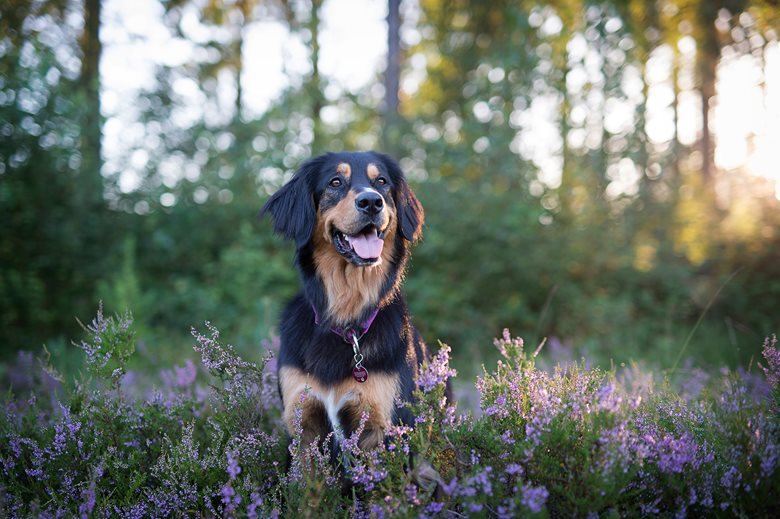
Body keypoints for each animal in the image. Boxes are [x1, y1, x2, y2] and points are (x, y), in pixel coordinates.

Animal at [264, 151, 432, 456]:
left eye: (381, 181)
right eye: (335, 182)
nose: (371, 202)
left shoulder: (385, 427)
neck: (346, 318)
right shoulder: (303, 427)